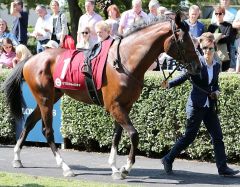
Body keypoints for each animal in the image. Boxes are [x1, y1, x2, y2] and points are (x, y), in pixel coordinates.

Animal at [2, 12, 201, 180]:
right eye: (184, 40)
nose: (198, 67)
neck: (124, 61)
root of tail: (31, 59)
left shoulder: (124, 106)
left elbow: (117, 136)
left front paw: (114, 167)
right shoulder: (114, 106)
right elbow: (134, 134)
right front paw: (125, 168)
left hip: (51, 97)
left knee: (29, 122)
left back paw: (17, 158)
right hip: (44, 99)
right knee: (47, 131)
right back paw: (66, 168)